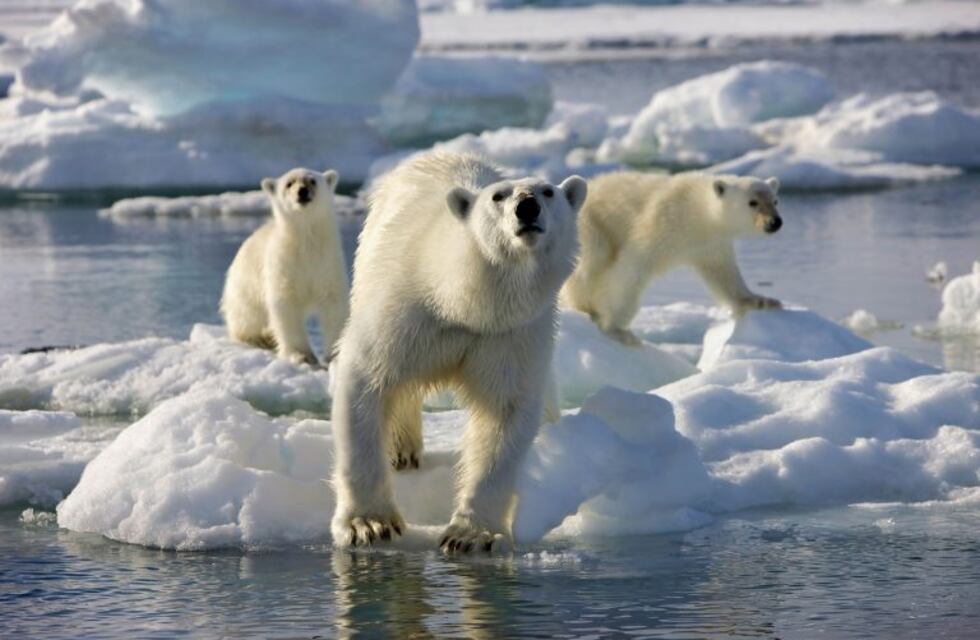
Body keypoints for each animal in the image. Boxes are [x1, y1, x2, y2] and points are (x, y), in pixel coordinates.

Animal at [220, 167, 349, 366]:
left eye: (312, 181)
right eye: (289, 183)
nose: (302, 191)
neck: (306, 243)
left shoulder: (327, 263)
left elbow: (333, 303)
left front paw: (334, 354)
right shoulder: (283, 265)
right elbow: (285, 305)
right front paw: (302, 355)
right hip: (244, 288)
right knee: (247, 316)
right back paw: (260, 338)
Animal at [330, 151, 586, 553]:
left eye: (548, 191)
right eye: (498, 196)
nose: (527, 207)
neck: (463, 303)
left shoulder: (510, 335)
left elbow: (504, 413)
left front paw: (471, 534)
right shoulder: (406, 312)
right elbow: (367, 380)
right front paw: (368, 524)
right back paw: (401, 451)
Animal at [560, 171, 782, 346]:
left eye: (775, 201)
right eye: (752, 202)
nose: (775, 222)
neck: (697, 212)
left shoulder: (711, 244)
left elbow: (724, 274)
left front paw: (762, 301)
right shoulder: (663, 221)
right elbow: (631, 268)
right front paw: (617, 329)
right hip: (589, 226)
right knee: (592, 262)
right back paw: (584, 308)